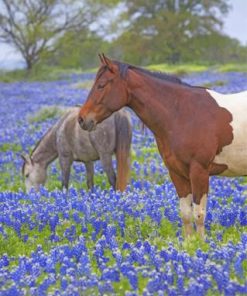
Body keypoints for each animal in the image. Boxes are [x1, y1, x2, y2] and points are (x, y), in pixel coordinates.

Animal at [78, 53, 247, 238]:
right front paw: (190, 244)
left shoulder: (199, 171)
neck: (182, 115)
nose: (82, 119)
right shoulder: (176, 172)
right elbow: (186, 214)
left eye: (101, 85)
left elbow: (199, 214)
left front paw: (200, 243)